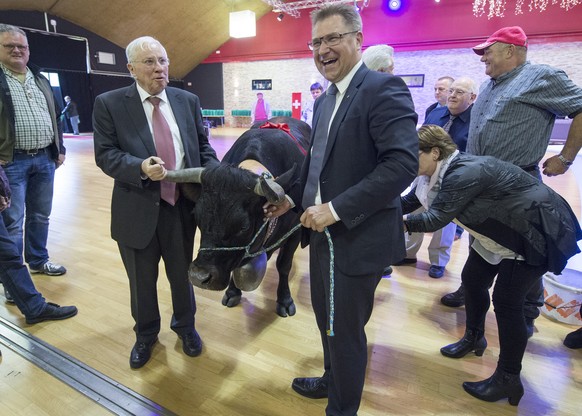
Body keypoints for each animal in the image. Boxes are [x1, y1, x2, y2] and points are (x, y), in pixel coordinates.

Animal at [165, 118, 310, 316]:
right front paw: (233, 291)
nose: (198, 276)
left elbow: (284, 266)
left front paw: (284, 299)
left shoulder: (295, 233)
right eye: (197, 217)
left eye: (244, 226)